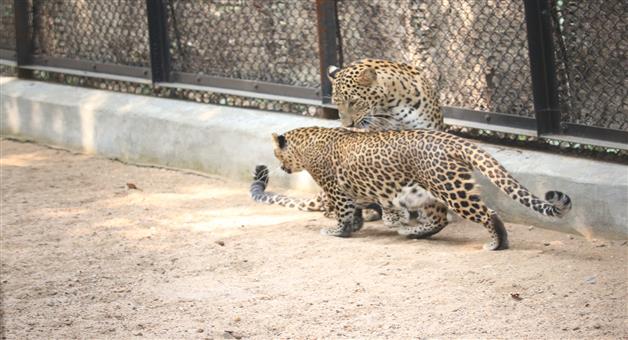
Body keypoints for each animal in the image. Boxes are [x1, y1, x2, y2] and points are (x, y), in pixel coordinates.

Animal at [248, 58, 448, 226]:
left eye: (353, 101)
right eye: (336, 103)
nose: (347, 125)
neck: (393, 104)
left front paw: (427, 213)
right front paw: (394, 215)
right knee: (330, 209)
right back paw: (369, 212)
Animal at [268, 126, 572, 251]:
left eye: (276, 153)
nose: (281, 167)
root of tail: (453, 140)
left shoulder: (335, 188)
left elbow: (343, 212)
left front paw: (338, 231)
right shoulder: (352, 192)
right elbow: (355, 212)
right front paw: (354, 227)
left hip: (449, 187)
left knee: (487, 213)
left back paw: (497, 244)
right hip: (428, 190)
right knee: (440, 219)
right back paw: (412, 232)